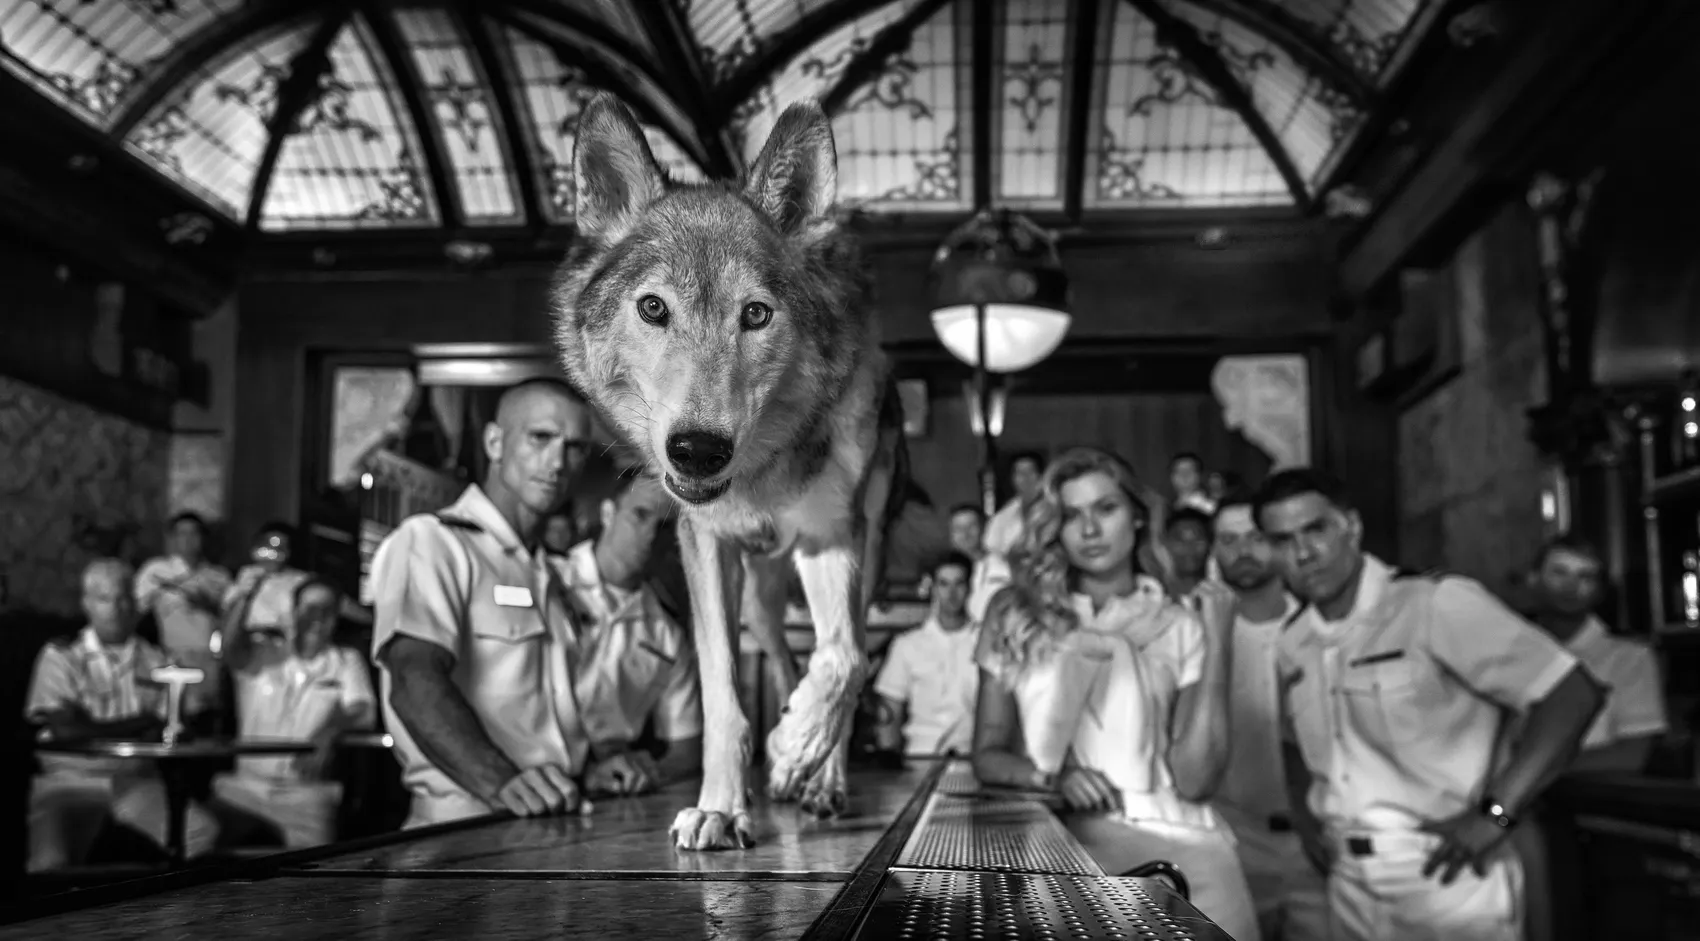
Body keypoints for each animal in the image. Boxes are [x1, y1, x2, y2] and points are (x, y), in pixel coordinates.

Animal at [550, 93, 906, 851]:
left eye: (757, 314)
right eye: (653, 308)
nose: (698, 450)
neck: (761, 474)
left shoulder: (834, 535)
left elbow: (848, 658)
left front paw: (798, 749)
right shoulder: (707, 546)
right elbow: (724, 696)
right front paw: (720, 805)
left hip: (861, 552)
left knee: (848, 651)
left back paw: (820, 776)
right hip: (762, 599)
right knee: (786, 655)